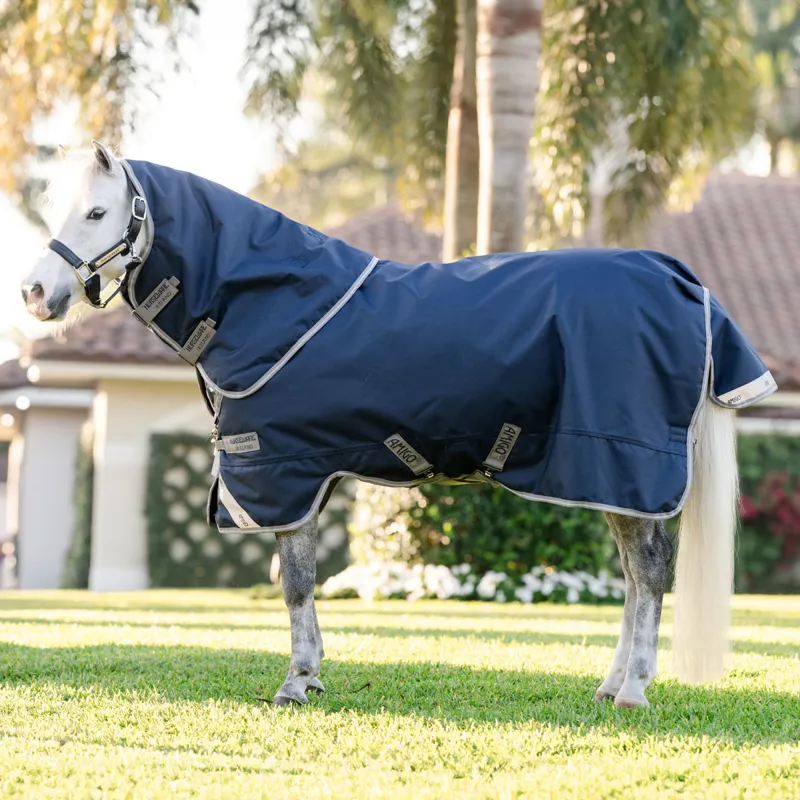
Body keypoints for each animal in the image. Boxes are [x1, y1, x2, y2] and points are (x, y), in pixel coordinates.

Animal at [21, 141, 776, 709]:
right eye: (58, 207)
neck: (268, 305)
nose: (34, 293)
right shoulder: (303, 477)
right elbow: (299, 583)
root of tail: (682, 280)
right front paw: (311, 675)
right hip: (612, 480)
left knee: (647, 574)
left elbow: (293, 584)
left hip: (624, 466)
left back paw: (633, 690)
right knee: (633, 576)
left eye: (98, 211)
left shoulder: (284, 474)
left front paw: (296, 683)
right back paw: (611, 684)